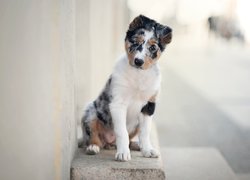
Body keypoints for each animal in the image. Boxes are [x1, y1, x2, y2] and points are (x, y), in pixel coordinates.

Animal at [81, 14, 171, 162]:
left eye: (153, 47)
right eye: (135, 42)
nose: (138, 61)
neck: (138, 74)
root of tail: (109, 142)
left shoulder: (149, 107)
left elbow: (145, 132)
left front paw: (147, 150)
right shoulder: (118, 104)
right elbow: (121, 131)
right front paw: (123, 153)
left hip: (135, 125)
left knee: (131, 138)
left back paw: (136, 145)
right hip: (91, 112)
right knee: (93, 135)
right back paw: (93, 147)